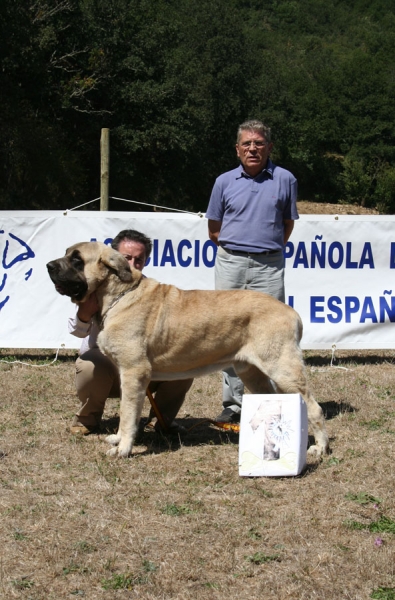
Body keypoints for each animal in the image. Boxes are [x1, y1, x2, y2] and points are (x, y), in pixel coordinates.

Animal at [47, 241, 332, 458]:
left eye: (76, 259)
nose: (49, 265)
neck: (119, 294)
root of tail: (292, 312)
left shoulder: (133, 372)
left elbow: (127, 415)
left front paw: (123, 449)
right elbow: (126, 414)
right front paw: (117, 440)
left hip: (283, 368)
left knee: (314, 408)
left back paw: (319, 448)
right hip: (252, 372)